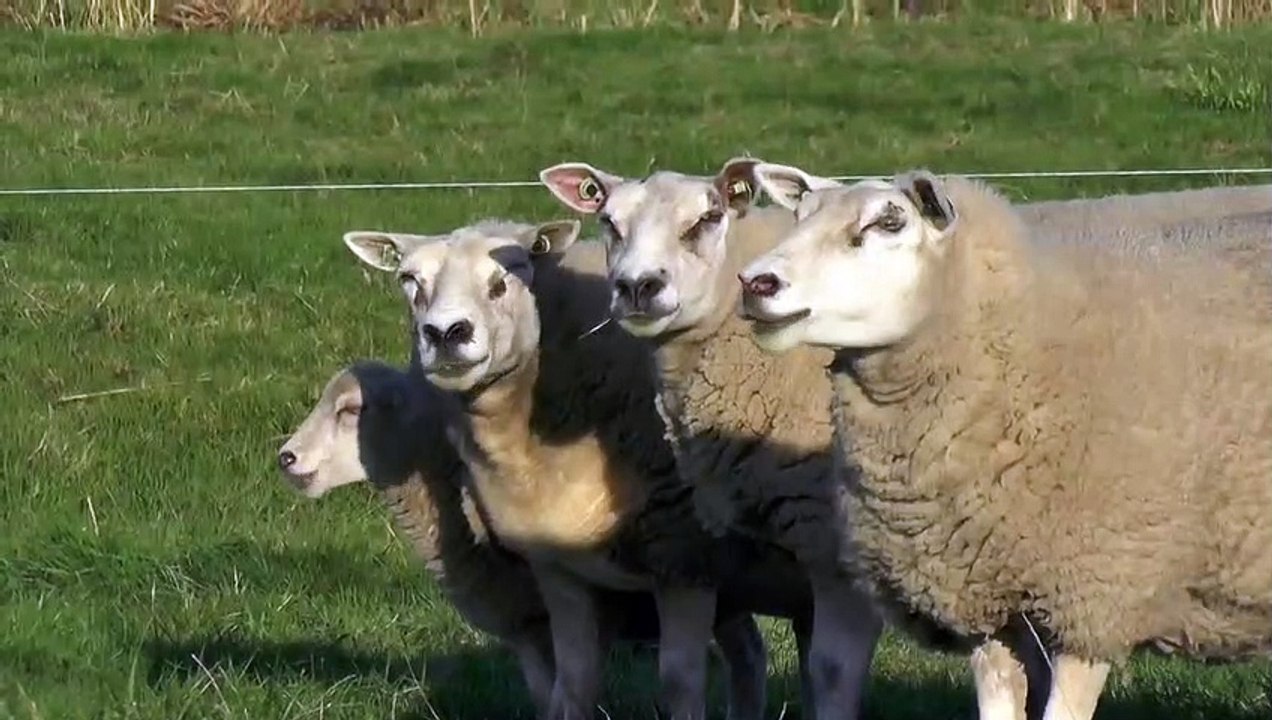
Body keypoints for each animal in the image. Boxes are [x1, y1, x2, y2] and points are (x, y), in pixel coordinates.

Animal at [342, 222, 800, 720]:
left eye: (506, 278)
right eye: (409, 280)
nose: (446, 333)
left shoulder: (684, 558)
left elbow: (680, 686)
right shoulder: (560, 570)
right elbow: (574, 686)